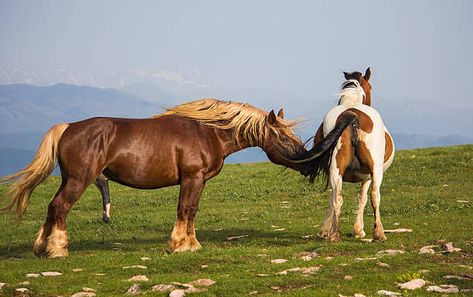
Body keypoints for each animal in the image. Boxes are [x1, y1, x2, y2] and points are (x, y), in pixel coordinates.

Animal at [1, 99, 312, 256]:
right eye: (285, 137)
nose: (307, 160)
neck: (207, 132)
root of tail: (67, 128)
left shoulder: (199, 182)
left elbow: (192, 211)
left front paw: (191, 244)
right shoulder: (191, 179)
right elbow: (184, 210)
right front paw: (179, 245)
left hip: (69, 180)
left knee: (52, 207)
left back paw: (42, 248)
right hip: (78, 181)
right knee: (60, 207)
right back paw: (57, 250)